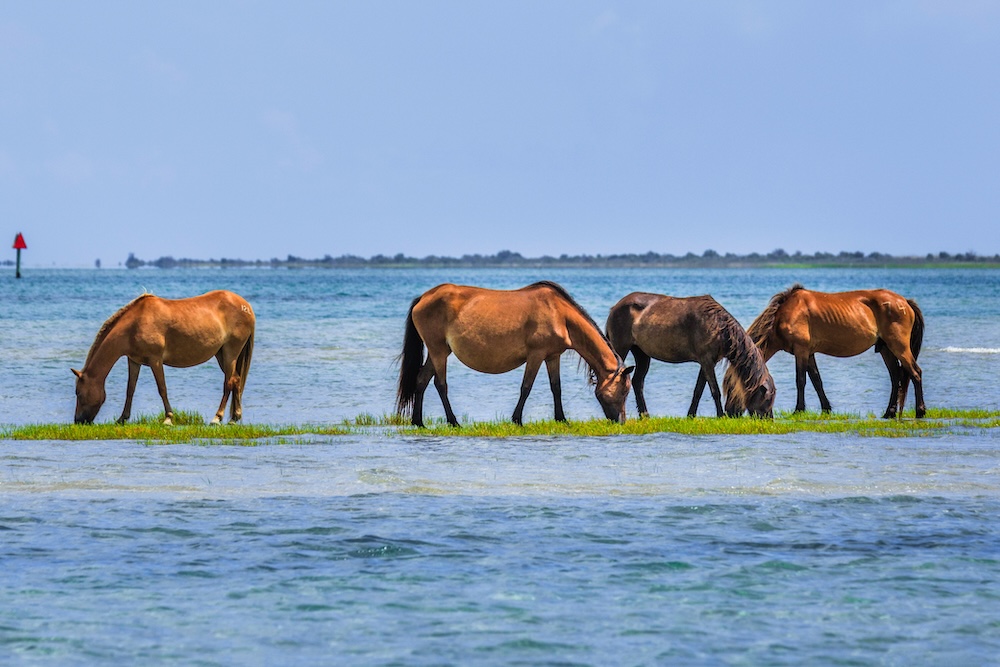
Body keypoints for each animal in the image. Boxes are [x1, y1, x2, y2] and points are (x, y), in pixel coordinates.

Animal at [72, 290, 255, 425]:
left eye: (78, 393)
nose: (78, 421)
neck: (134, 324)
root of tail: (246, 306)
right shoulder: (134, 361)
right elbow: (130, 389)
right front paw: (122, 418)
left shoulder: (156, 360)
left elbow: (162, 388)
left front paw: (168, 418)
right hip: (221, 354)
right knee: (236, 380)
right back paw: (234, 418)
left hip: (231, 352)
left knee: (228, 383)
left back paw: (217, 418)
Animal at [396, 281, 633, 427]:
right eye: (624, 390)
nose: (620, 421)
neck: (559, 314)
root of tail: (423, 297)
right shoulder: (536, 355)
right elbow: (526, 387)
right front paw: (517, 419)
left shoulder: (552, 356)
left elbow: (556, 388)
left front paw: (561, 419)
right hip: (438, 351)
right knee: (440, 384)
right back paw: (453, 422)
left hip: (439, 351)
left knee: (421, 380)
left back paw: (418, 421)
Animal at [606, 292, 775, 418]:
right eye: (767, 399)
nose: (769, 420)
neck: (718, 325)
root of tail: (615, 308)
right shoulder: (706, 361)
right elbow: (715, 391)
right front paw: (720, 415)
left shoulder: (707, 362)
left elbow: (698, 390)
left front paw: (691, 415)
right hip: (620, 348)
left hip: (642, 353)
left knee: (638, 382)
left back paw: (645, 415)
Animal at [729, 284, 925, 418]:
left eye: (731, 386)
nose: (731, 412)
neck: (785, 314)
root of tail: (905, 302)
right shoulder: (809, 353)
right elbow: (817, 380)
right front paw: (826, 408)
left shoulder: (801, 351)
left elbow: (801, 380)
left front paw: (798, 410)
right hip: (886, 349)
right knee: (895, 377)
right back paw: (889, 413)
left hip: (899, 347)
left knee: (915, 373)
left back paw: (920, 411)